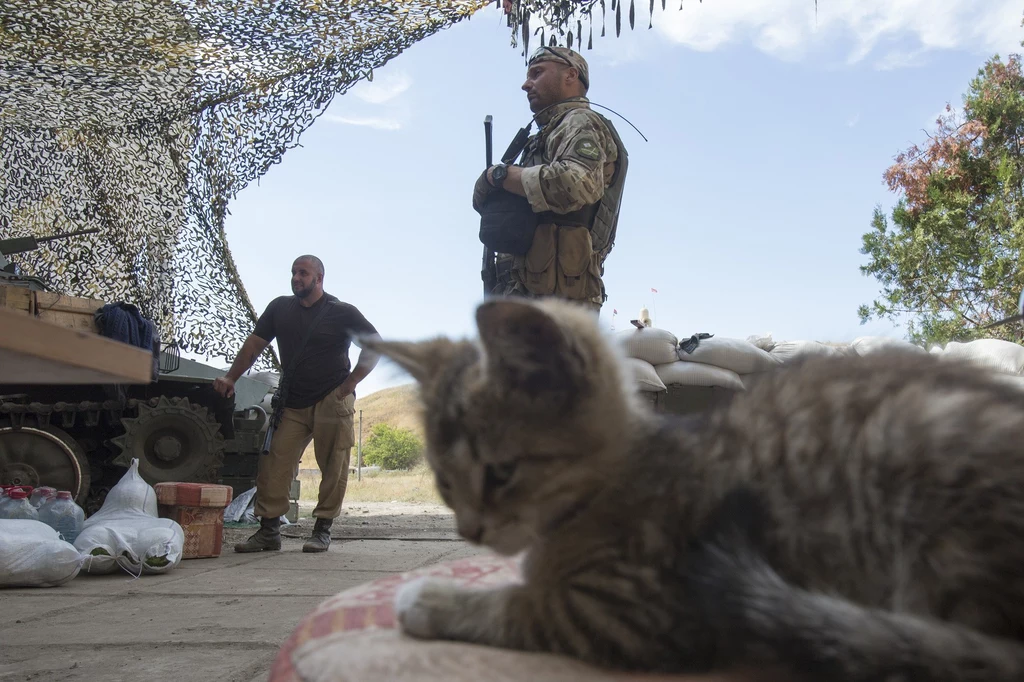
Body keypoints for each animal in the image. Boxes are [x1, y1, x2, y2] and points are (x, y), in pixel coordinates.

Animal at [356, 296, 1024, 679]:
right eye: (445, 482)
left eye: (501, 472)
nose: (469, 530)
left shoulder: (635, 607)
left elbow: (525, 605)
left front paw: (432, 599)